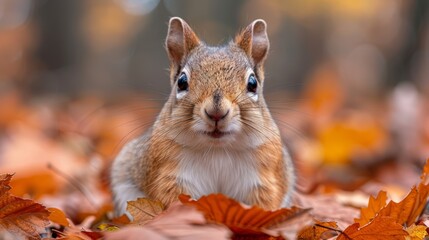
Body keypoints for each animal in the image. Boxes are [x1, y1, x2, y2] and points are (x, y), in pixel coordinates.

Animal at [111, 17, 294, 215]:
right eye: (182, 82)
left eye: (253, 83)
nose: (216, 113)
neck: (217, 150)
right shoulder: (169, 175)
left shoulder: (264, 178)